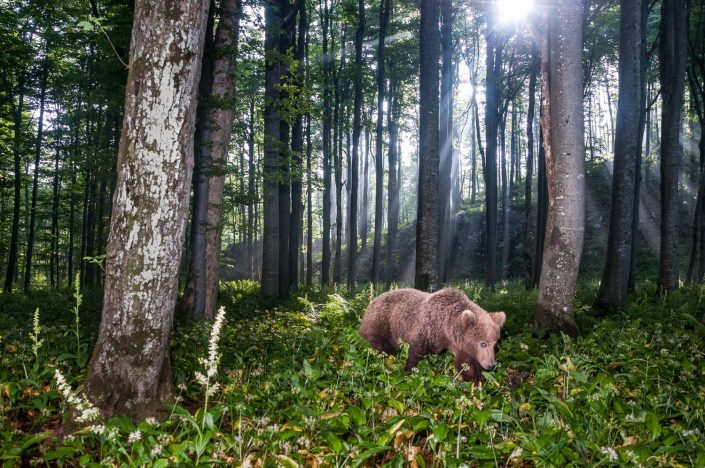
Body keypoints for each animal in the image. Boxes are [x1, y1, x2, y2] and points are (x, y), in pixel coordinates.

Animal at [360, 288, 504, 382]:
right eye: (483, 343)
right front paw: (410, 371)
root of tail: (373, 300)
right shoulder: (428, 328)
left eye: (495, 344)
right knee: (377, 345)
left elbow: (465, 363)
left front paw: (475, 381)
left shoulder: (460, 345)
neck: (445, 328)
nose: (491, 365)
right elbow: (416, 353)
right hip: (382, 323)